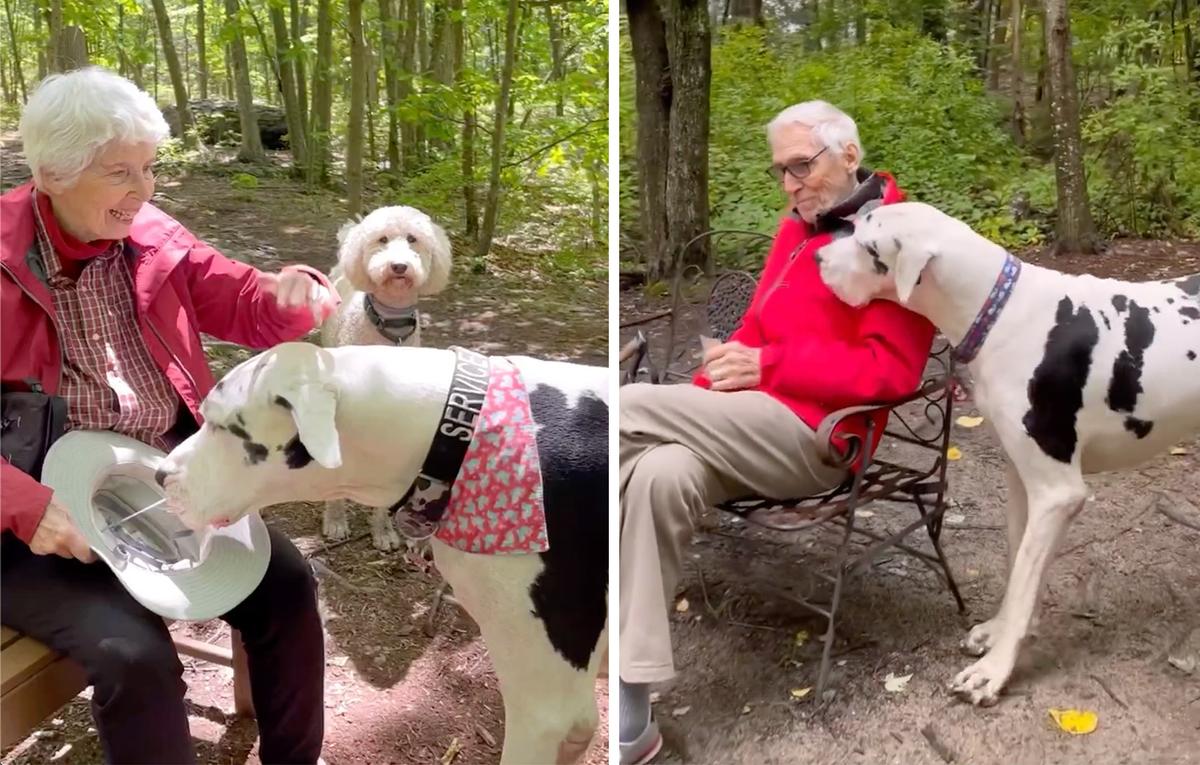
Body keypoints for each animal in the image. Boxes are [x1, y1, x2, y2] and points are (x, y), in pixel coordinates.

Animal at [319, 203, 451, 551]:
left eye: (413, 239)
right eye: (382, 239)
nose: (399, 266)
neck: (389, 328)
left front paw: (383, 531)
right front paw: (335, 521)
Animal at [816, 202, 1200, 709]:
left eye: (867, 246)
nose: (817, 258)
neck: (999, 315)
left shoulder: (1057, 494)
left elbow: (1022, 581)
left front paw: (993, 672)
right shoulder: (1021, 479)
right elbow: (1017, 567)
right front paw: (1001, 633)